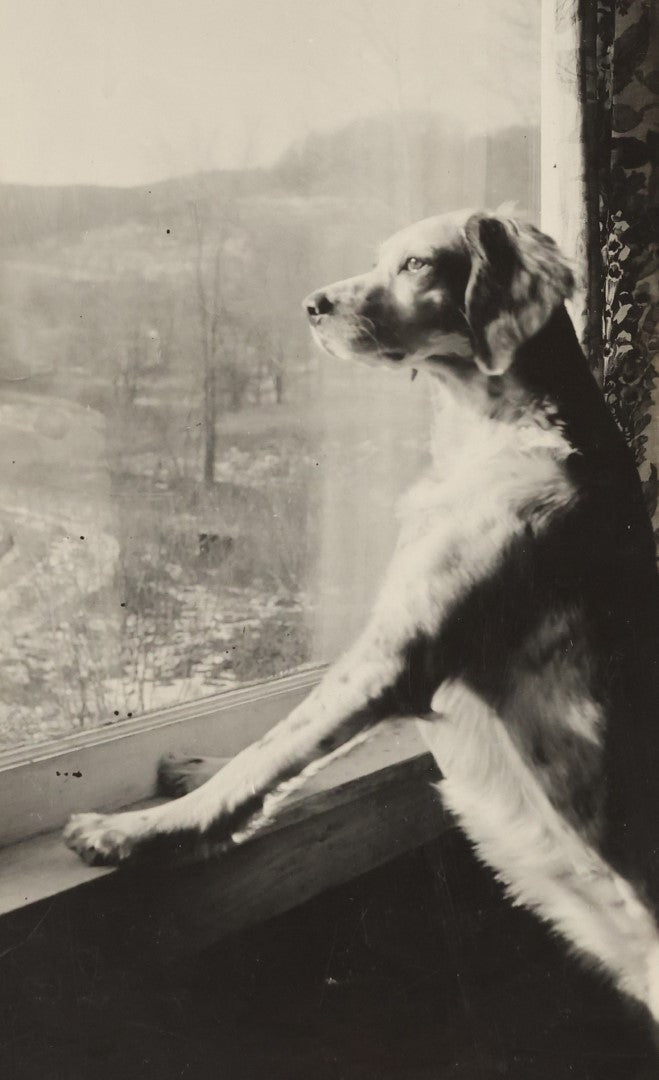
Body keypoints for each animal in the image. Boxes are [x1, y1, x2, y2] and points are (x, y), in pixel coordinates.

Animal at [65, 212, 656, 1028]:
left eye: (416, 264)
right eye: (380, 257)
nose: (311, 305)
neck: (499, 432)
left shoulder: (395, 655)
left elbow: (272, 752)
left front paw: (138, 830)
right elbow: (285, 750)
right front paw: (192, 769)